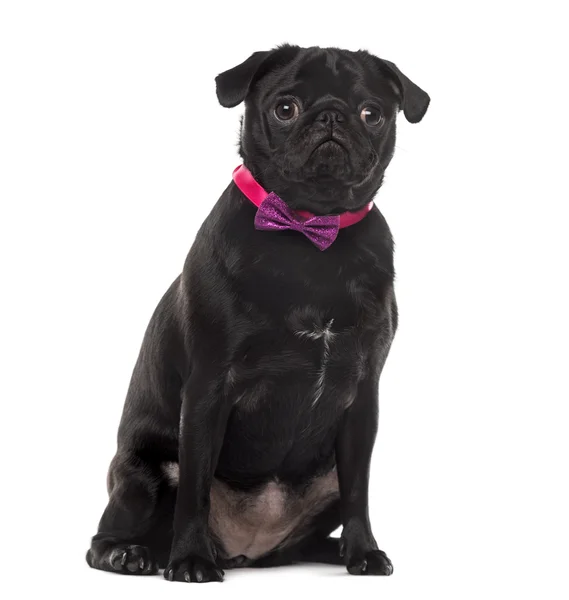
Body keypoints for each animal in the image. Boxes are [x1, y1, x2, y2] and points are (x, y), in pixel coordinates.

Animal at [86, 44, 428, 584]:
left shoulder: (362, 399)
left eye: (372, 114)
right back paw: (135, 554)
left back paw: (336, 551)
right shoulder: (208, 390)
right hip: (144, 477)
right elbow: (195, 490)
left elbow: (360, 491)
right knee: (107, 535)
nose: (331, 115)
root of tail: (249, 550)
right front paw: (190, 561)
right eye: (285, 109)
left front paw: (364, 552)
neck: (311, 233)